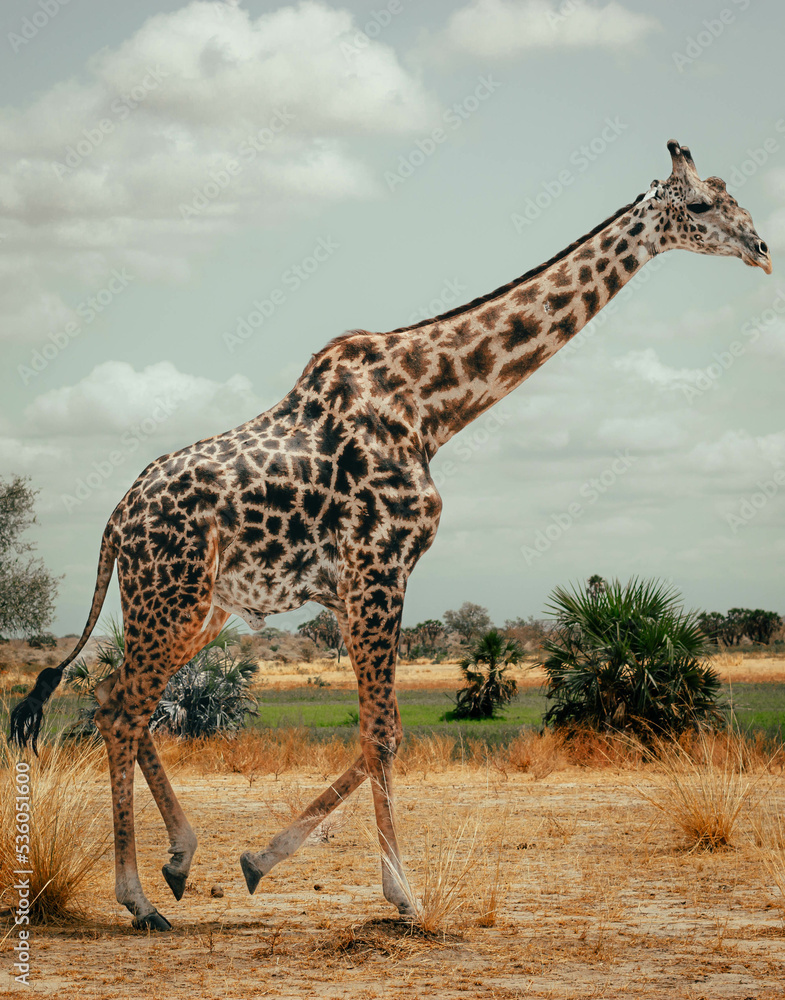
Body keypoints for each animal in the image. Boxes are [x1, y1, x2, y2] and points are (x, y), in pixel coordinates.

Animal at [10, 140, 771, 931]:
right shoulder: (382, 567)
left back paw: (180, 861)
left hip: (200, 607)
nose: (761, 249)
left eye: (730, 195)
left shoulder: (354, 587)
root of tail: (115, 520)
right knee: (124, 708)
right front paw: (403, 894)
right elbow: (384, 731)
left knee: (115, 701)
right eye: (701, 204)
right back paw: (138, 898)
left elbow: (381, 729)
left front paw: (258, 860)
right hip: (171, 596)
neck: (433, 407)